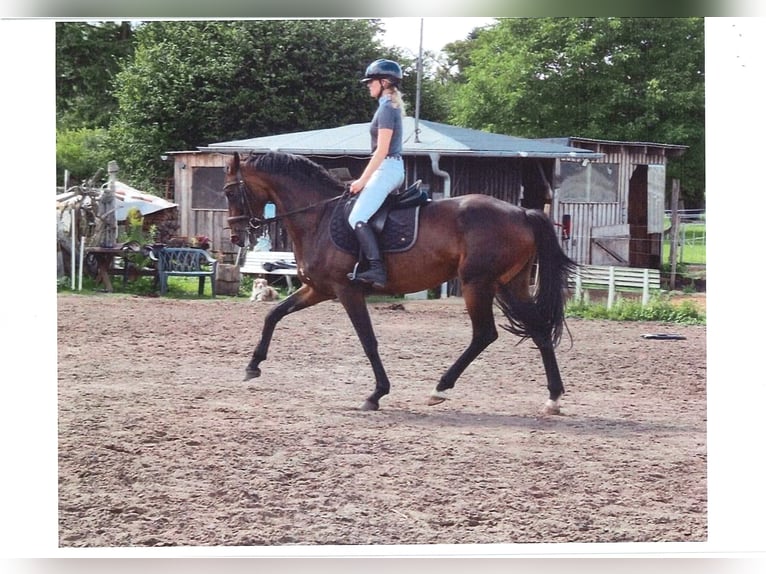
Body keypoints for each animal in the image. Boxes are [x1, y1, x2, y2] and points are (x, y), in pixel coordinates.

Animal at [222, 151, 576, 414]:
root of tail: (522, 212)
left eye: (229, 191)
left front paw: (376, 394)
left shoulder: (347, 291)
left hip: (477, 284)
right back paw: (553, 398)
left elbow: (368, 341)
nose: (236, 236)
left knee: (485, 334)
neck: (318, 218)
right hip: (509, 285)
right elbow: (274, 314)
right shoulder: (318, 289)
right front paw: (252, 366)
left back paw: (440, 388)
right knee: (539, 330)